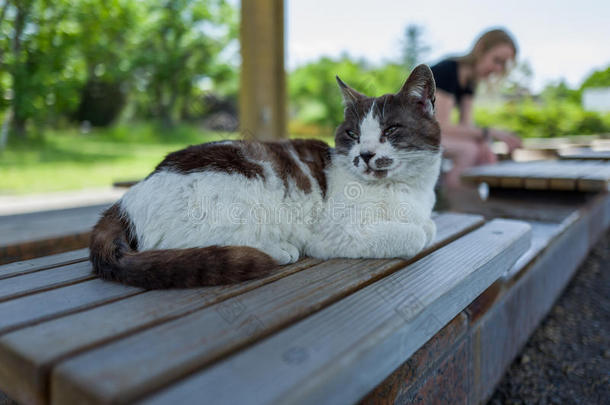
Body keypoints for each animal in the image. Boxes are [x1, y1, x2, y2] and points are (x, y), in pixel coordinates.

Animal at [90, 64, 440, 288]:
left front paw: (424, 223)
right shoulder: (333, 232)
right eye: (352, 134)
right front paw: (414, 232)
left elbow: (429, 226)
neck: (404, 191)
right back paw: (278, 250)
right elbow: (415, 236)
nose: (364, 154)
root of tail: (124, 201)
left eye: (391, 130)